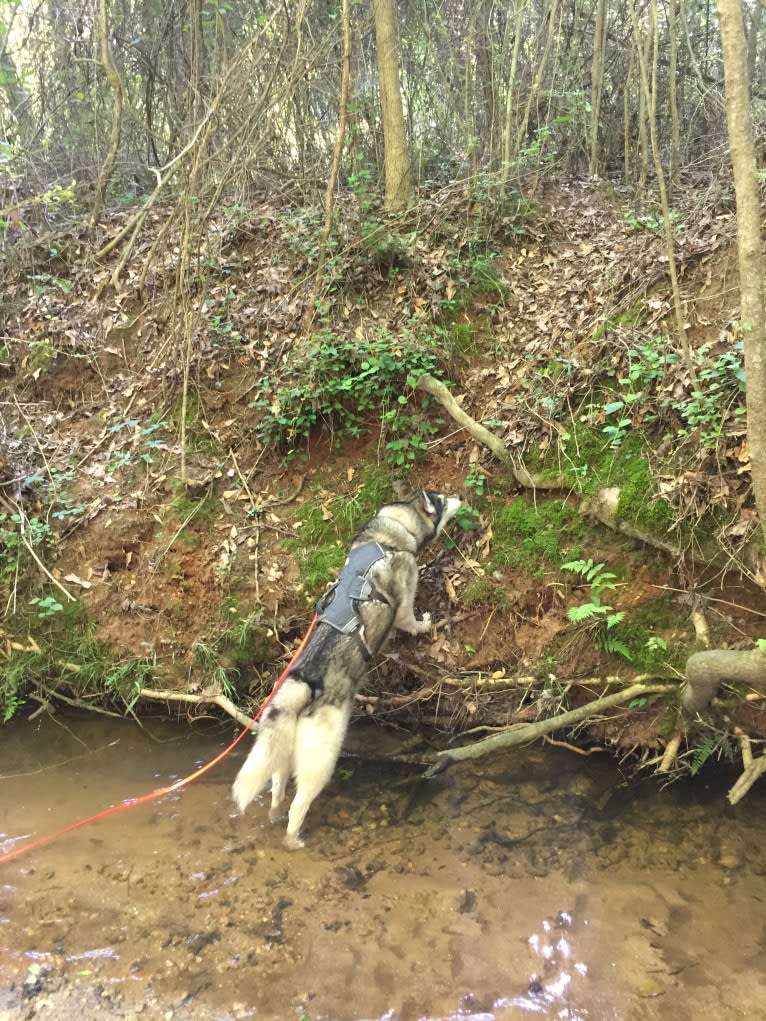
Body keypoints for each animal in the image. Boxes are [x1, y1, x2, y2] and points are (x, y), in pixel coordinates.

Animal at [232, 490, 461, 849]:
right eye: (441, 499)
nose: (460, 495)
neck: (389, 534)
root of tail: (305, 682)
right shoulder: (404, 600)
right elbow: (410, 620)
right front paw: (424, 625)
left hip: (281, 753)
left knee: (277, 790)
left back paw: (275, 815)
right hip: (321, 758)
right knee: (299, 802)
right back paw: (294, 838)